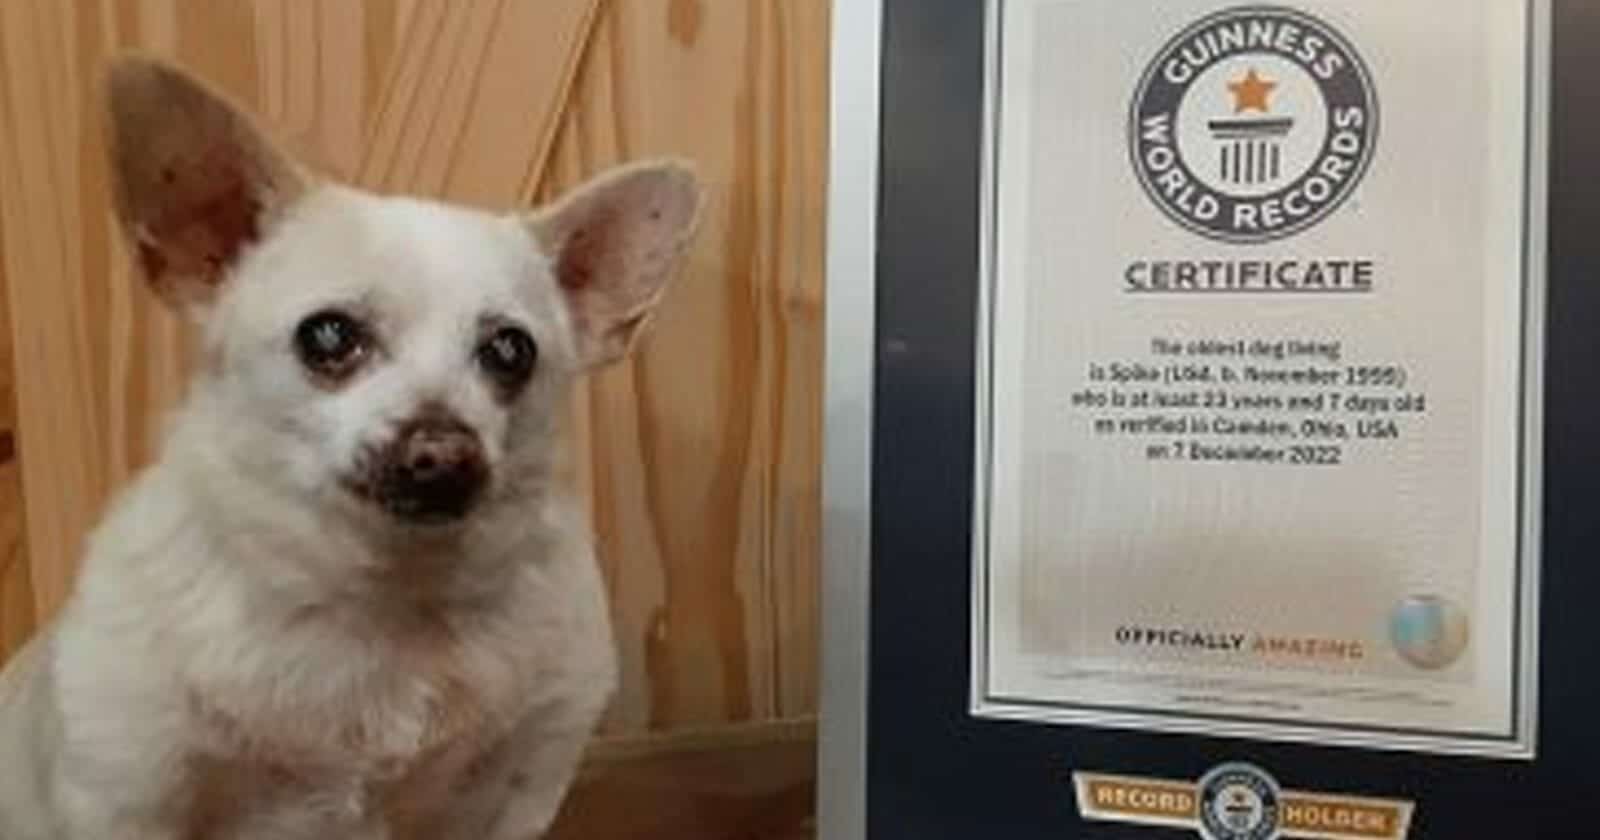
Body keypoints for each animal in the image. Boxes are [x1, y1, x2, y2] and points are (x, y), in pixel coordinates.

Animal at [0, 55, 701, 839]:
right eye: (329, 336)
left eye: (511, 352)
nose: (443, 448)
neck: (388, 606)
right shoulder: (124, 797)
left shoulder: (515, 790)